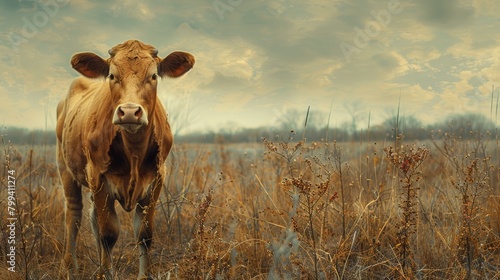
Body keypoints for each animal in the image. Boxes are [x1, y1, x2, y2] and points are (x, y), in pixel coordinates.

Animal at [56, 40, 193, 280]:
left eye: (153, 76)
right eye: (112, 75)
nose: (129, 112)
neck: (134, 153)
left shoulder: (157, 178)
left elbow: (144, 235)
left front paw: (144, 275)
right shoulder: (98, 176)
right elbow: (108, 233)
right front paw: (105, 274)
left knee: (92, 218)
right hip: (65, 168)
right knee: (73, 216)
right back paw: (69, 266)